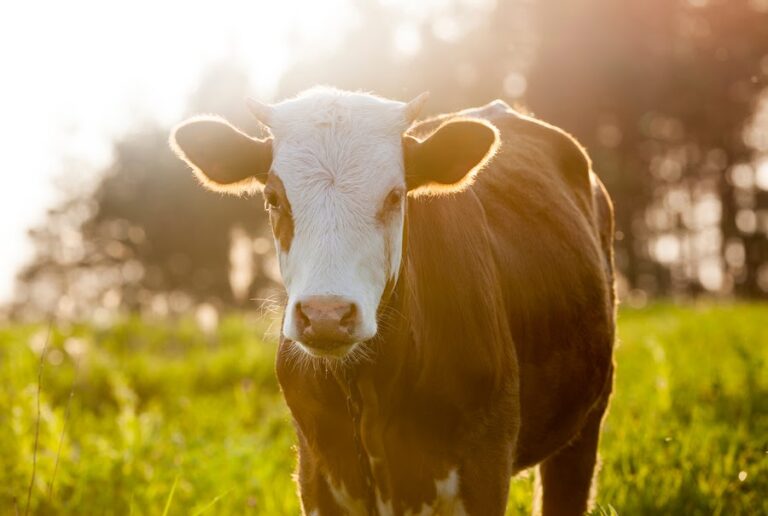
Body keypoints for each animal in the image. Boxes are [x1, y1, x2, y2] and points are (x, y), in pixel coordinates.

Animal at [171, 86, 616, 512]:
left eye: (394, 196)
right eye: (273, 198)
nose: (326, 315)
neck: (367, 389)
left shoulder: (486, 464)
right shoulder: (316, 475)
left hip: (587, 421)